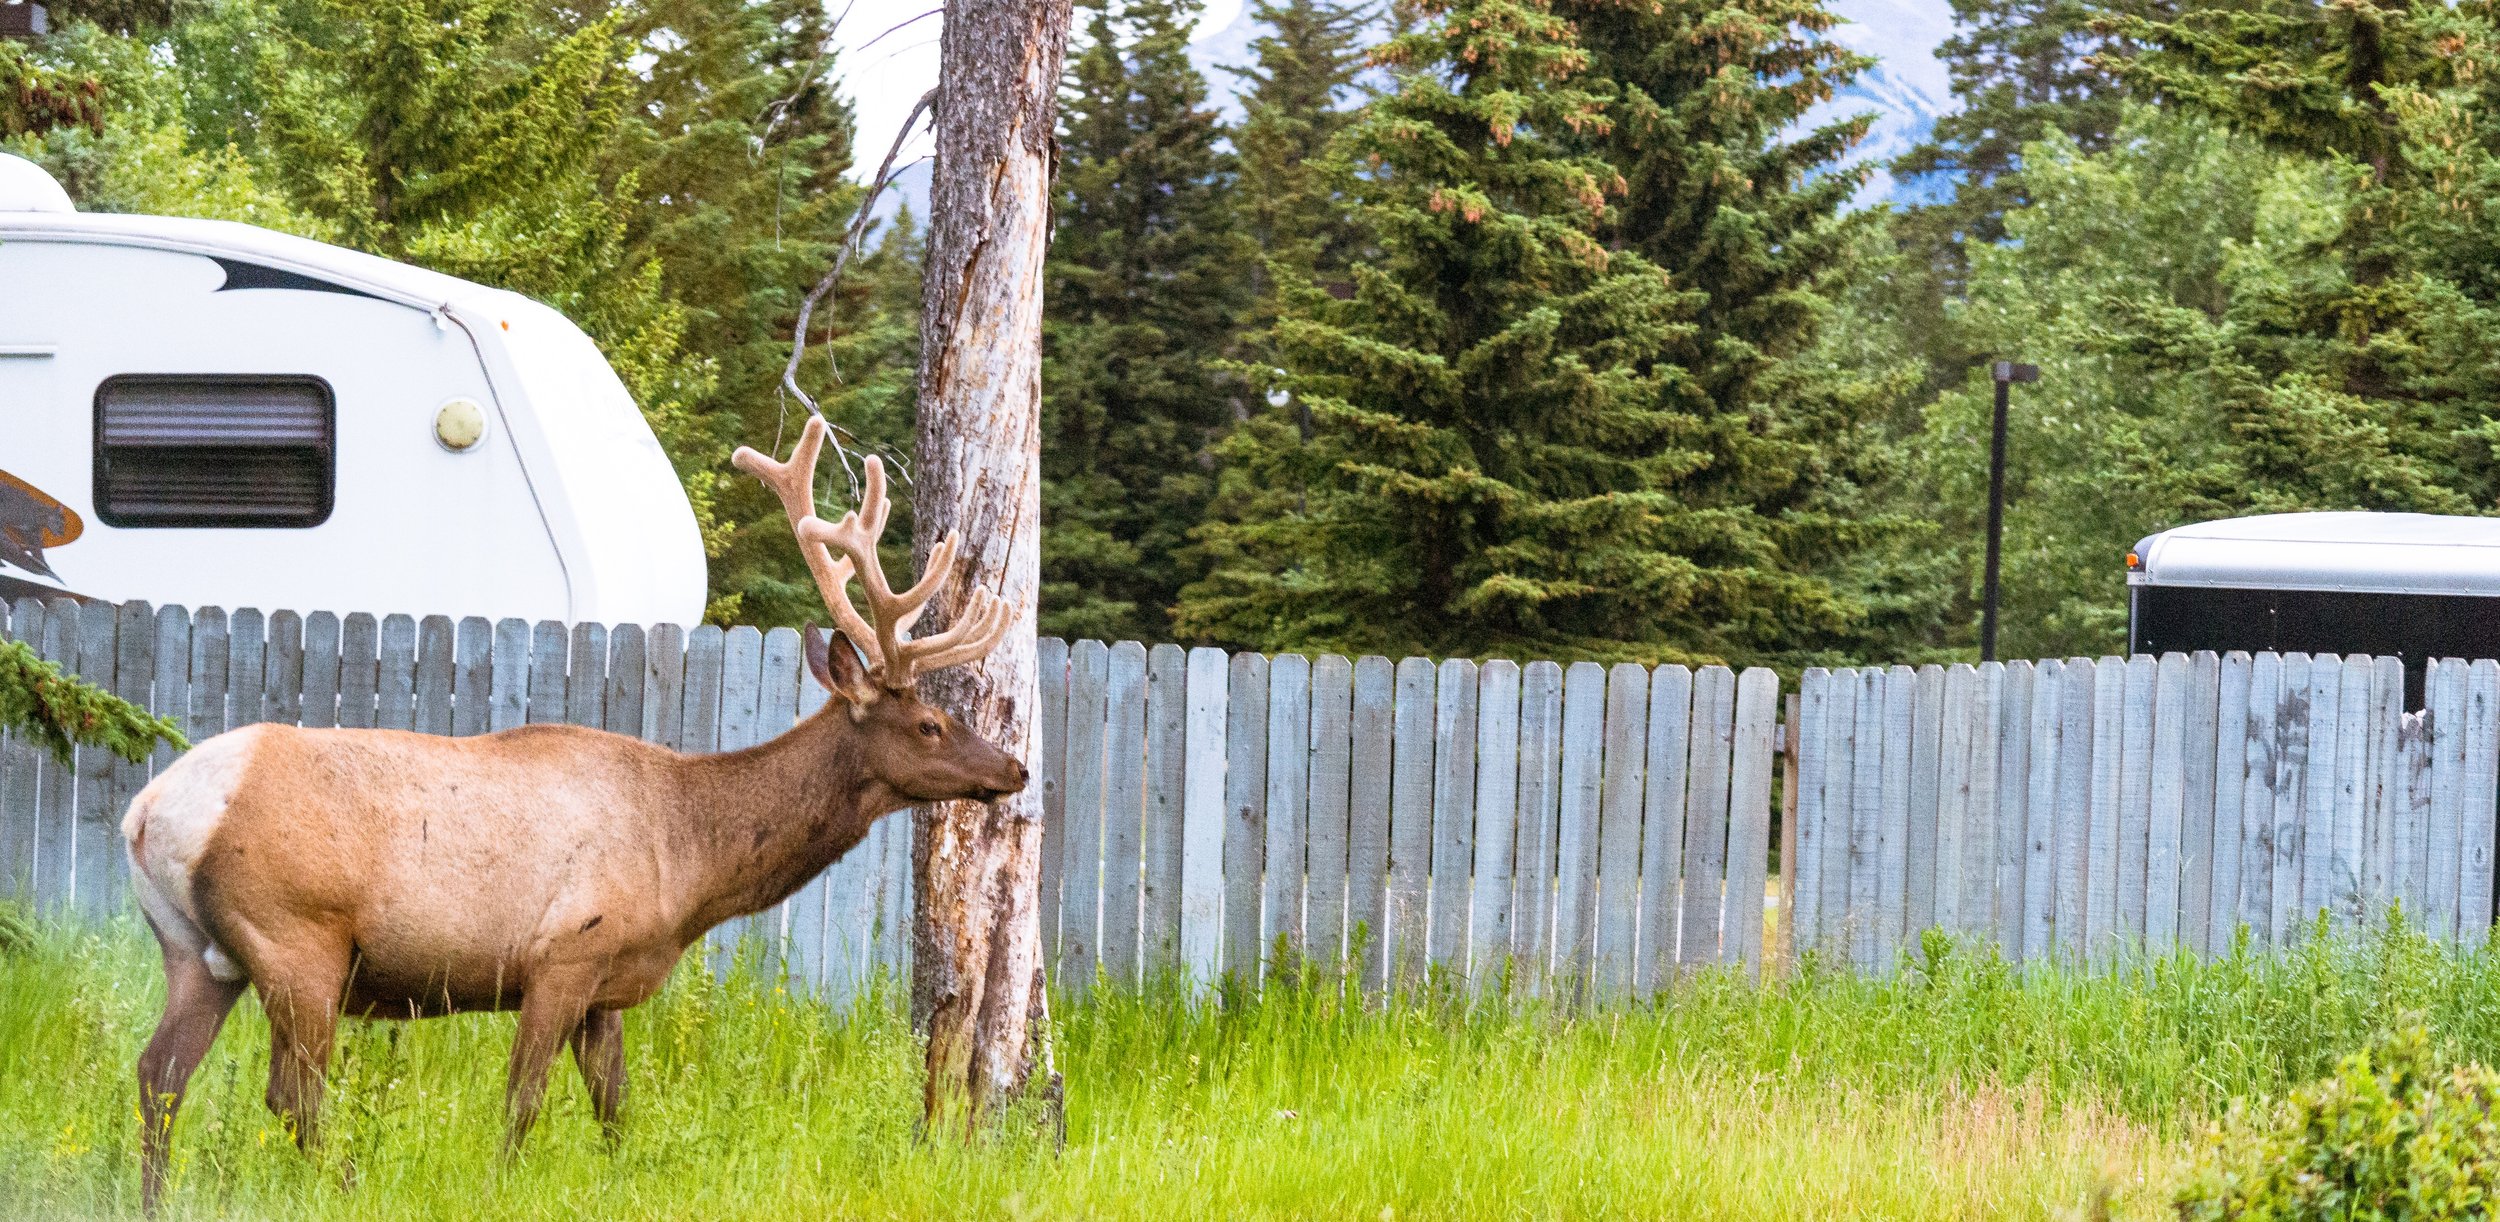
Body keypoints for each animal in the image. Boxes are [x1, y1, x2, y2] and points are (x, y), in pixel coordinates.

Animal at [121, 415, 1024, 1211]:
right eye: (930, 723)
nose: (1013, 769)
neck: (688, 865)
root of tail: (147, 813)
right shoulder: (562, 955)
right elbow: (521, 1104)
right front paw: (498, 1189)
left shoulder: (606, 988)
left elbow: (614, 1111)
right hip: (297, 941)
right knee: (291, 1094)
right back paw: (344, 1186)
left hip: (197, 950)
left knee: (159, 1073)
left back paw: (154, 1201)